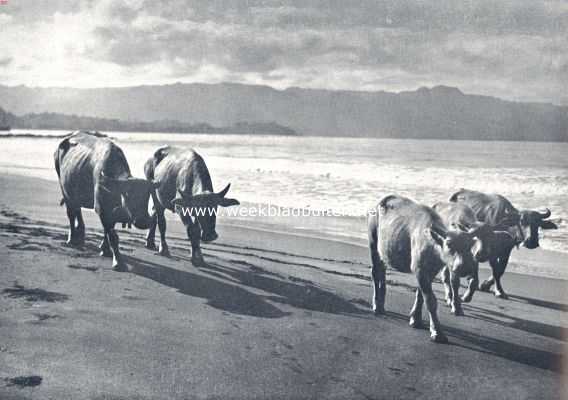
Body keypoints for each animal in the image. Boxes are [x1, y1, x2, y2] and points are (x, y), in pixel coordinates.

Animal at [54, 131, 156, 272]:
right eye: (128, 194)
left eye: (147, 196)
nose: (144, 221)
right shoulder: (101, 209)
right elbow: (112, 235)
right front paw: (118, 262)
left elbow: (107, 232)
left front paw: (105, 249)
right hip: (65, 190)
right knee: (71, 213)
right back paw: (71, 239)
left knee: (77, 210)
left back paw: (80, 235)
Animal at [368, 195, 480, 342]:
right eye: (449, 244)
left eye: (470, 244)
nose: (466, 267)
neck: (433, 246)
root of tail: (377, 205)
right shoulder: (420, 270)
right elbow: (430, 300)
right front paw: (437, 331)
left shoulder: (430, 272)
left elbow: (420, 295)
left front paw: (415, 319)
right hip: (373, 245)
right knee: (375, 273)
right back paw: (376, 306)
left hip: (384, 254)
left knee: (382, 273)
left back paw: (381, 304)